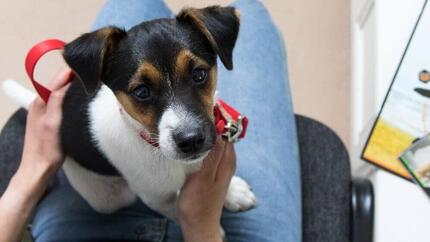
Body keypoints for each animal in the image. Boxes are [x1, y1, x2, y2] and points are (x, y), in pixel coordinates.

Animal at [55, 5, 255, 225]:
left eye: (199, 74)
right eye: (142, 92)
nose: (191, 140)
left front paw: (233, 192)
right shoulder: (158, 199)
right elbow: (182, 212)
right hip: (111, 197)